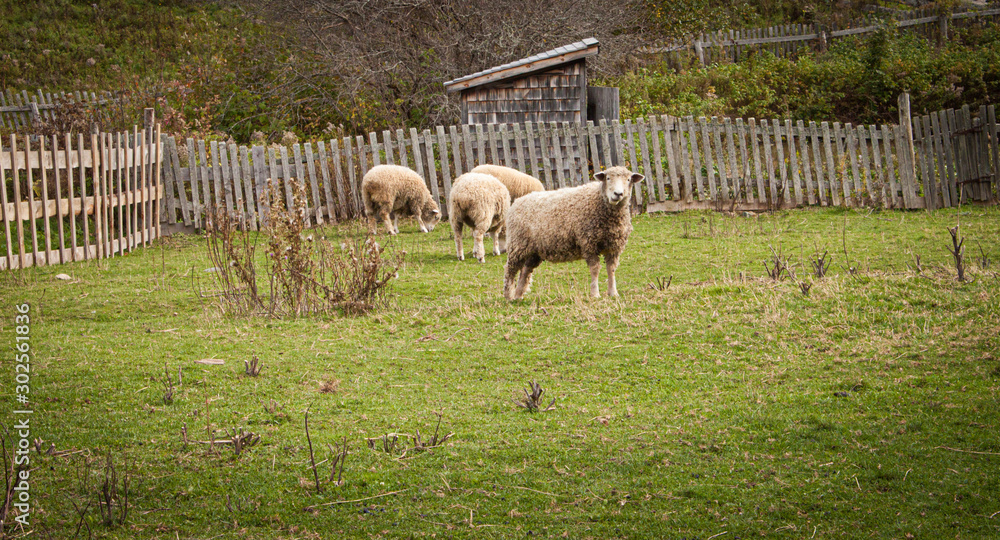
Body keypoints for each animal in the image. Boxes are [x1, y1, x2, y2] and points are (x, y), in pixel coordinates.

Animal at [502, 166, 644, 300]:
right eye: (608, 178)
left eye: (628, 180)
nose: (618, 194)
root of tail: (517, 202)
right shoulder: (589, 243)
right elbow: (595, 269)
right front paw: (595, 294)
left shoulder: (614, 247)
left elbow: (611, 269)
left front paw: (613, 293)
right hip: (517, 245)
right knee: (510, 270)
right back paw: (509, 296)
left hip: (534, 251)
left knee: (525, 270)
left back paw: (518, 295)